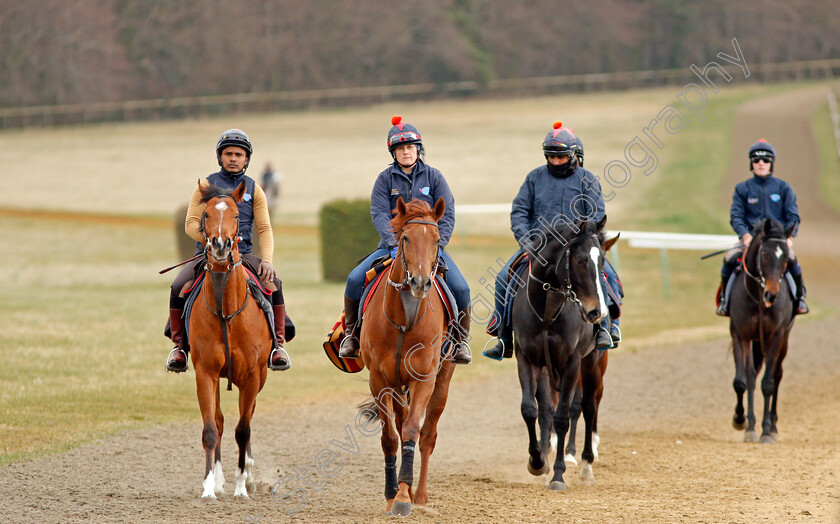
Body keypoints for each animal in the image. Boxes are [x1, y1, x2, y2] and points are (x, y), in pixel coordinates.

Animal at [188, 181, 272, 500]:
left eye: (237, 215)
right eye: (206, 214)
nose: (220, 245)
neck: (227, 312)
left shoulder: (251, 376)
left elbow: (243, 430)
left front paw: (241, 486)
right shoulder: (205, 372)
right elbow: (212, 428)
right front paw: (210, 486)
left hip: (260, 378)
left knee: (246, 421)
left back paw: (247, 476)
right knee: (221, 421)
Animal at [360, 196, 456, 516]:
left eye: (437, 239)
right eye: (405, 238)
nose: (420, 282)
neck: (405, 320)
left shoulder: (424, 379)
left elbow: (414, 431)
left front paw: (404, 497)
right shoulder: (380, 381)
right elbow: (391, 438)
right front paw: (393, 494)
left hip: (442, 381)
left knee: (427, 435)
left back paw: (420, 493)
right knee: (400, 429)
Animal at [512, 216, 612, 492]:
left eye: (601, 260)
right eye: (580, 260)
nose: (596, 312)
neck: (548, 311)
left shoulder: (572, 363)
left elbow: (563, 417)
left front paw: (558, 474)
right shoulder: (527, 359)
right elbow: (530, 410)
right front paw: (537, 462)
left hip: (591, 364)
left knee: (588, 407)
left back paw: (587, 466)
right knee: (547, 409)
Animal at [728, 217, 796, 442]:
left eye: (785, 257)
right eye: (764, 253)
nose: (771, 295)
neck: (758, 299)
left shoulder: (776, 336)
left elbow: (768, 383)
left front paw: (766, 431)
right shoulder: (740, 335)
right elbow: (742, 381)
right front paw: (742, 421)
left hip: (784, 340)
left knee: (777, 375)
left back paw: (773, 427)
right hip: (757, 342)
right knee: (752, 376)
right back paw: (751, 425)